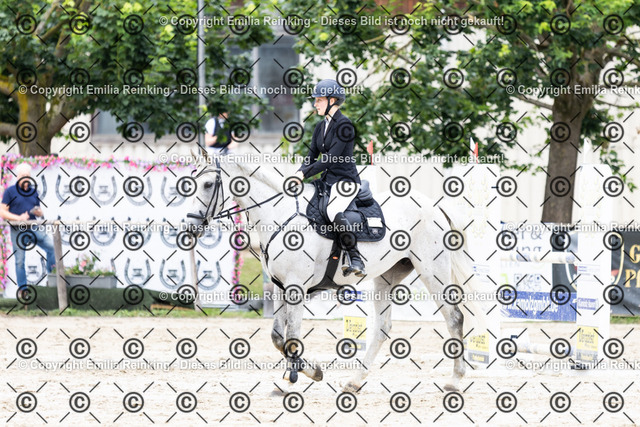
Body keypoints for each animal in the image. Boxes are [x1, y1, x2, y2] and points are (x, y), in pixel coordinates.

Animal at [185, 154, 490, 392]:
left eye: (208, 184)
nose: (189, 228)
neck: (279, 214)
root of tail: (434, 206)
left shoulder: (296, 287)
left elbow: (292, 335)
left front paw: (299, 375)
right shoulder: (283, 287)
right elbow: (278, 337)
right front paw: (306, 370)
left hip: (432, 271)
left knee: (454, 318)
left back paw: (455, 381)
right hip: (388, 276)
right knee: (382, 328)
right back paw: (354, 381)